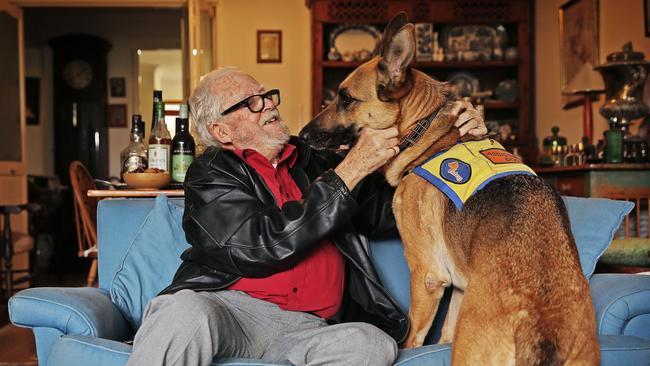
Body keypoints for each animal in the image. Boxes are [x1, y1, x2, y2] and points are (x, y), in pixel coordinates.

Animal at [298, 12, 596, 364]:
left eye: (345, 98)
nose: (301, 136)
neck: (424, 130)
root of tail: (540, 327)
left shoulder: (426, 273)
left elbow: (415, 334)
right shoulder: (458, 285)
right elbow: (444, 331)